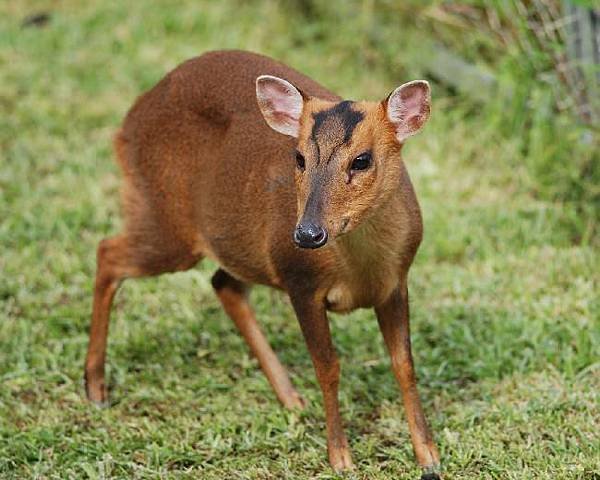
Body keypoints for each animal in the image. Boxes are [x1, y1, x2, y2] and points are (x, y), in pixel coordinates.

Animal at [84, 49, 440, 480]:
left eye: (362, 160)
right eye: (299, 157)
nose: (307, 234)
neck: (360, 270)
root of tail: (128, 121)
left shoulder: (396, 282)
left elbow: (404, 364)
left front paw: (429, 456)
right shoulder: (299, 280)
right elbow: (328, 366)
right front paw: (340, 458)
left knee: (221, 283)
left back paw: (291, 398)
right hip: (166, 221)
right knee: (107, 252)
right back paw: (95, 388)